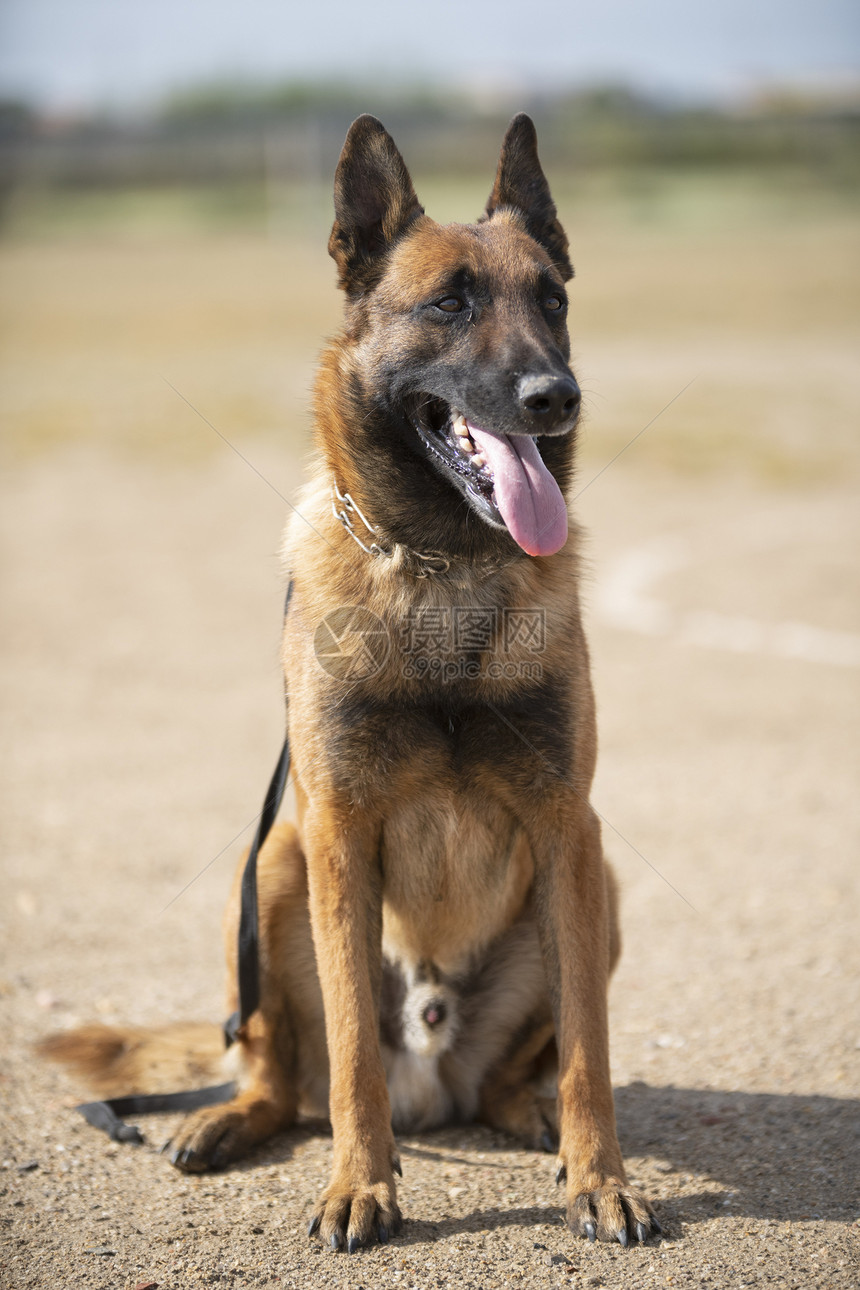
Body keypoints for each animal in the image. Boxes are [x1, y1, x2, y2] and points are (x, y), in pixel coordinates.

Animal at [40, 118, 660, 1248]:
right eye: (449, 303)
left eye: (551, 297)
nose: (555, 397)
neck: (443, 570)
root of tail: (438, 1077)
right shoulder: (335, 830)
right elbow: (351, 1063)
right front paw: (359, 1185)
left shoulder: (569, 828)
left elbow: (590, 1052)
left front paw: (599, 1179)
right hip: (273, 868)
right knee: (282, 1072)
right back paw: (228, 1120)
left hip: (596, 891)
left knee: (515, 1075)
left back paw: (534, 1123)